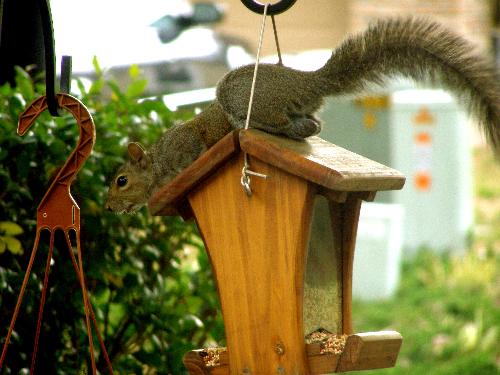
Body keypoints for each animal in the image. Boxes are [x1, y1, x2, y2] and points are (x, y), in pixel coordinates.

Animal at [103, 16, 498, 214]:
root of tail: (307, 81)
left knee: (275, 120)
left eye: (121, 180)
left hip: (240, 95)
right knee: (308, 125)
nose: (107, 207)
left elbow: (193, 153)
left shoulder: (186, 146)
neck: (158, 162)